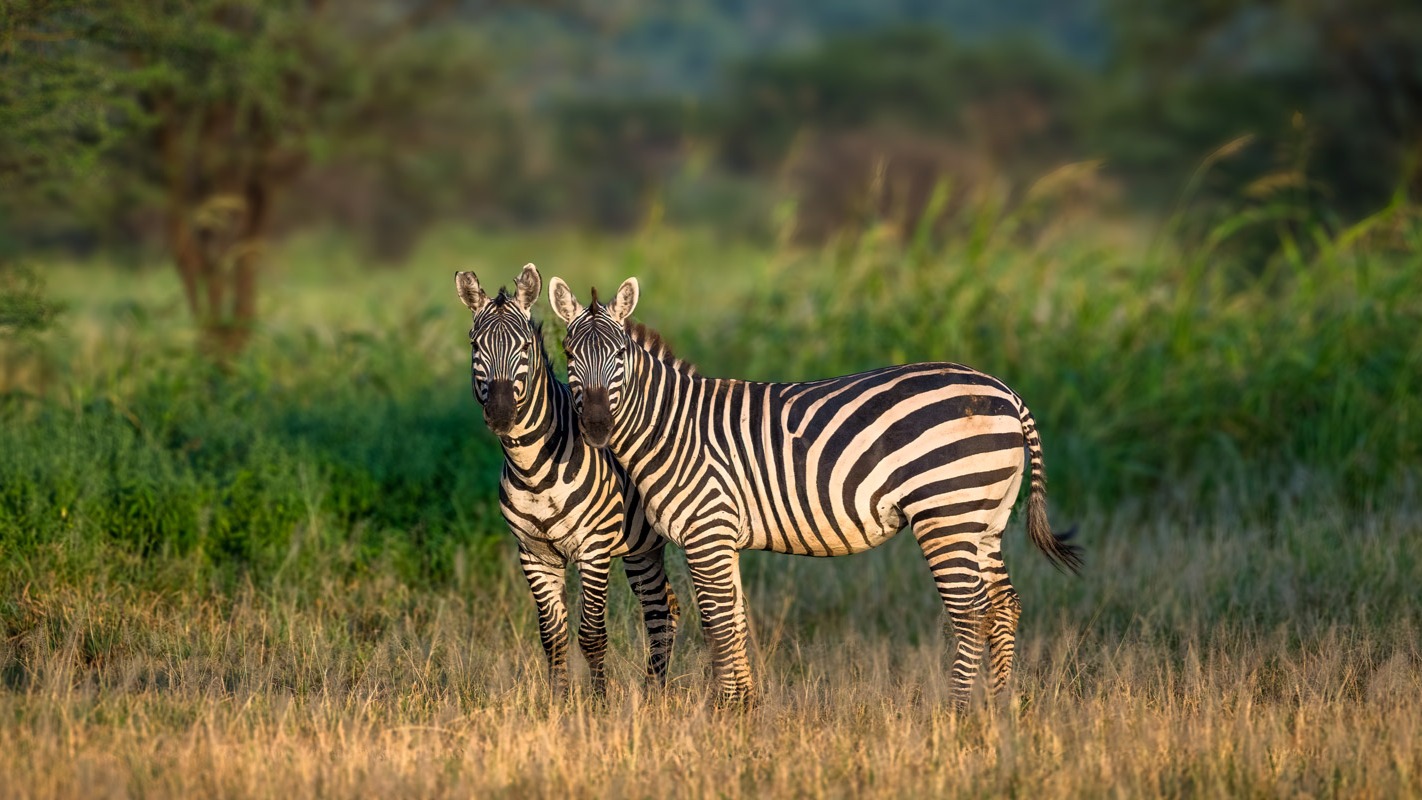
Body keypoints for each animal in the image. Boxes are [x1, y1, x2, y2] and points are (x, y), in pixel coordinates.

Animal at [455, 264, 678, 700]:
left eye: (525, 347)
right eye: (475, 345)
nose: (502, 414)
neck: (533, 471)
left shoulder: (593, 549)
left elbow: (592, 635)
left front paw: (599, 703)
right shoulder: (533, 553)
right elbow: (552, 636)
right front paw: (557, 702)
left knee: (662, 612)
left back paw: (656, 693)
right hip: (639, 549)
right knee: (665, 608)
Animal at [545, 276, 1080, 708]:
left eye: (619, 356)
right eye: (570, 356)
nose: (596, 427)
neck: (671, 429)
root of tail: (1006, 392)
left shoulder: (707, 531)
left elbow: (717, 620)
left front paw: (723, 709)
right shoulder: (723, 537)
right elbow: (736, 618)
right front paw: (745, 706)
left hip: (947, 513)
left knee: (970, 612)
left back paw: (958, 711)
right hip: (983, 517)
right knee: (1004, 605)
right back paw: (999, 703)